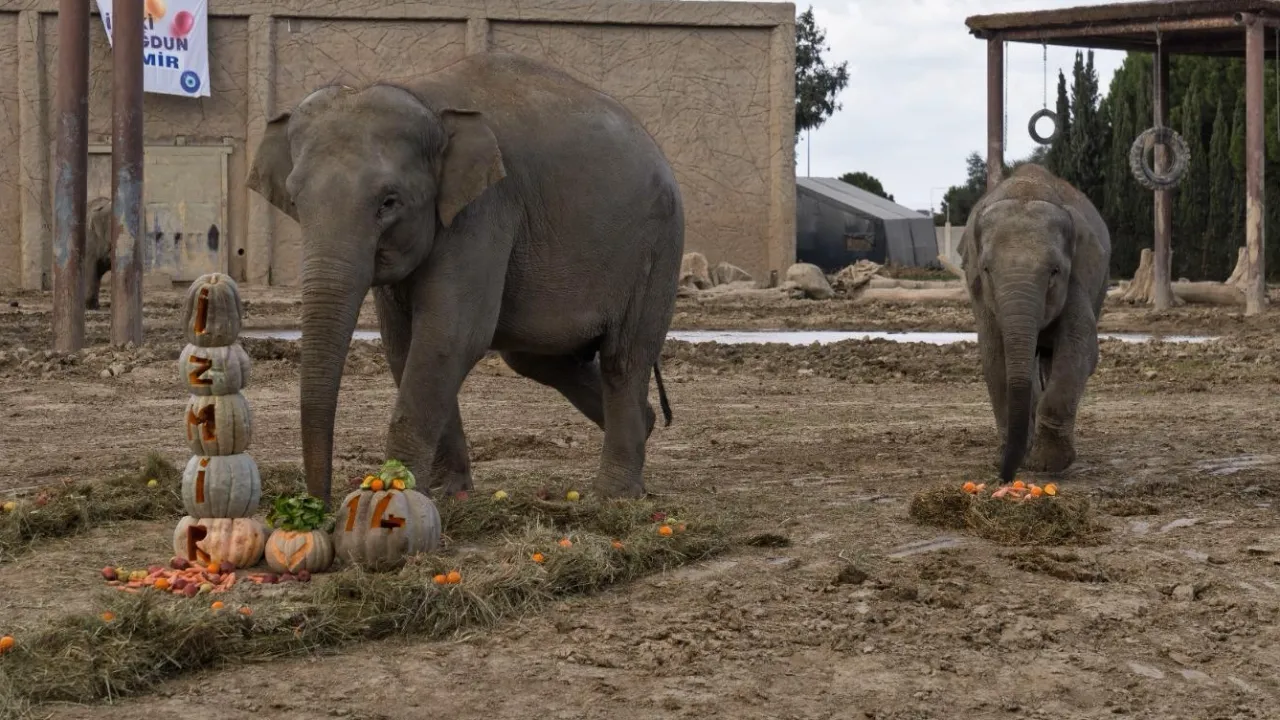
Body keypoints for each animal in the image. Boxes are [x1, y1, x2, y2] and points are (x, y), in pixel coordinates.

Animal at [246, 52, 684, 507]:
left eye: (389, 202)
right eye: (294, 200)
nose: (319, 505)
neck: (422, 97)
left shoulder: (485, 210)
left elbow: (448, 336)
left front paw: (398, 490)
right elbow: (404, 344)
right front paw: (445, 491)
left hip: (656, 248)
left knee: (624, 357)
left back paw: (613, 496)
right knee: (537, 358)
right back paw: (649, 425)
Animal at [958, 163, 1111, 483]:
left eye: (1055, 271)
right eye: (987, 270)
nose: (1003, 477)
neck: (1026, 190)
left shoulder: (1078, 276)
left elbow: (1081, 347)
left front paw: (1047, 464)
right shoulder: (979, 292)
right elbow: (994, 355)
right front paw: (1014, 455)